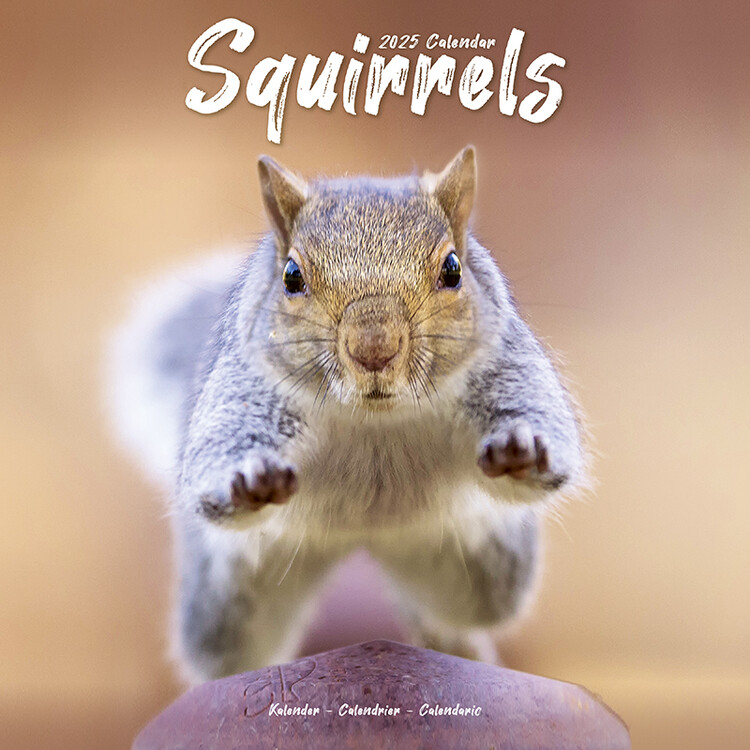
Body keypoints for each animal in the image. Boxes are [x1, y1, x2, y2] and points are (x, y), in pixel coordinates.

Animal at [107, 146, 585, 685]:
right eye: (292, 276)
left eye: (453, 269)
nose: (373, 347)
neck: (373, 419)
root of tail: (366, 540)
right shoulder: (245, 389)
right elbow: (222, 448)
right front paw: (249, 477)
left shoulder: (506, 365)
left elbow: (539, 419)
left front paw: (521, 448)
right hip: (229, 599)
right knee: (224, 651)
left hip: (479, 560)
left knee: (462, 609)